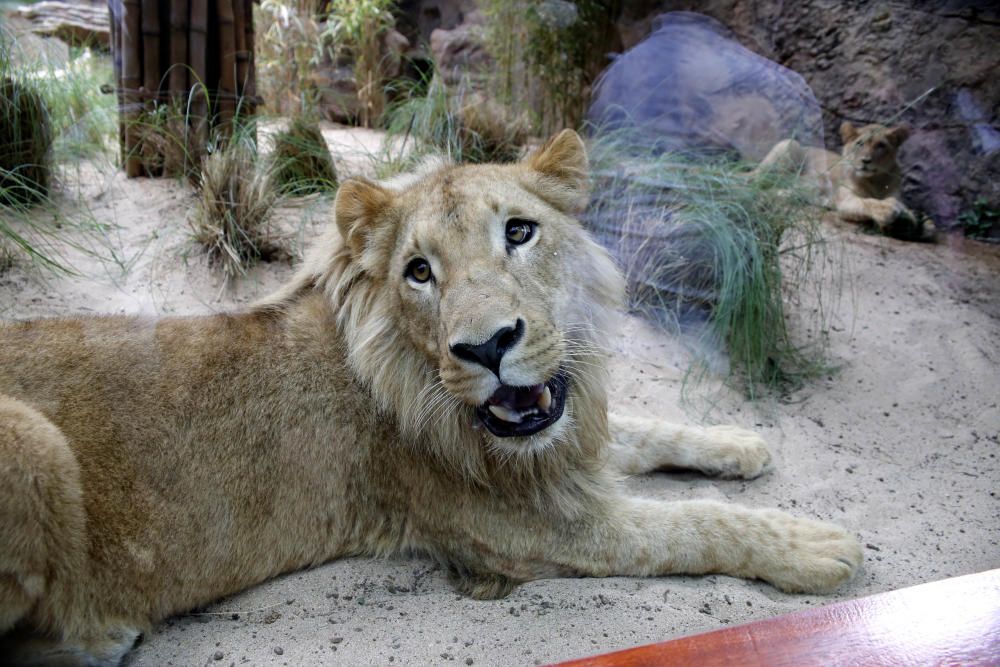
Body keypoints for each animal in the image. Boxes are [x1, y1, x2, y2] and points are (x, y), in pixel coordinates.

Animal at [0, 130, 860, 667]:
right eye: (419, 271)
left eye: (520, 231)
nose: (488, 346)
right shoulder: (530, 528)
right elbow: (693, 525)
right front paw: (815, 545)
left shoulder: (558, 438)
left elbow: (644, 429)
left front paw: (740, 442)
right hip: (31, 441)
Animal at [756, 120, 928, 240]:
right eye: (860, 143)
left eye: (881, 145)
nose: (866, 160)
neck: (875, 181)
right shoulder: (846, 201)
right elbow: (867, 202)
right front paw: (889, 210)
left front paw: (915, 222)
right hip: (790, 144)